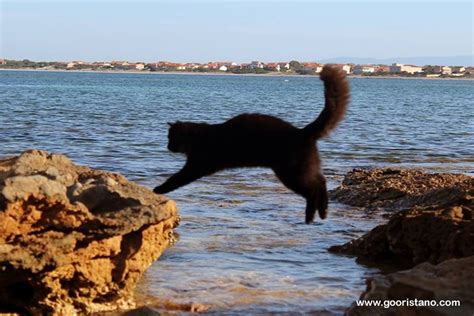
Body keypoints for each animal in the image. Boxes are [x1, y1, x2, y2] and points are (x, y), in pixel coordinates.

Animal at [154, 64, 350, 223]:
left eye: (171, 138)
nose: (167, 147)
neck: (196, 137)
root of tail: (301, 131)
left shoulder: (195, 166)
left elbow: (175, 179)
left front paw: (158, 189)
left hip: (292, 173)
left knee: (315, 188)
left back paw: (313, 215)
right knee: (321, 182)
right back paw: (320, 213)